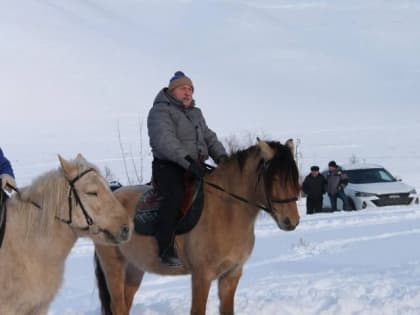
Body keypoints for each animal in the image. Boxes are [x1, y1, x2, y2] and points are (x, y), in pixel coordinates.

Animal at [94, 141, 300, 315]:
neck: (227, 212)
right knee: (118, 306)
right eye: (274, 178)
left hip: (135, 268)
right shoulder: (202, 276)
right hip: (113, 266)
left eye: (295, 178)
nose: (291, 221)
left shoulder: (232, 274)